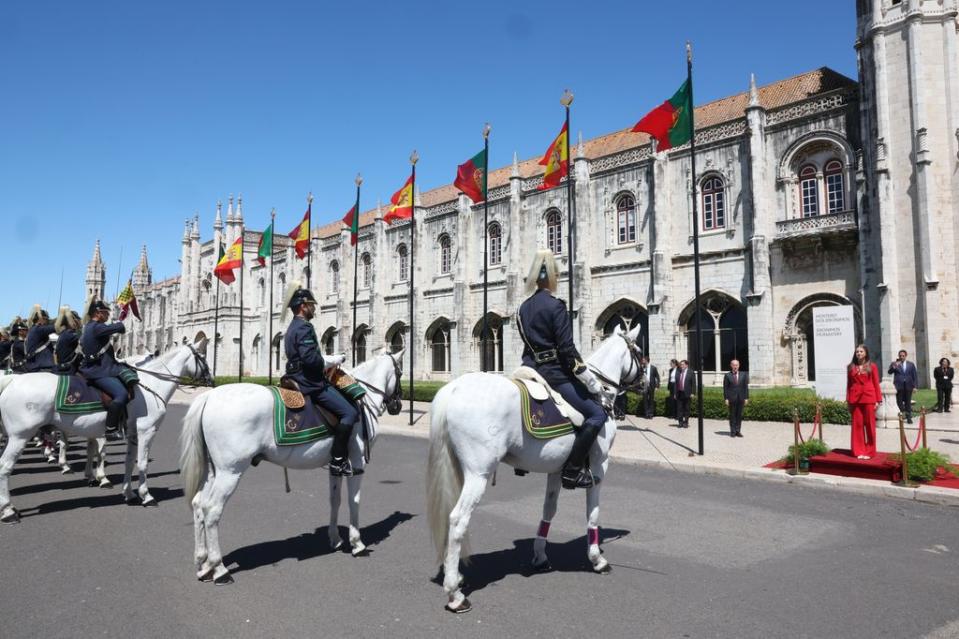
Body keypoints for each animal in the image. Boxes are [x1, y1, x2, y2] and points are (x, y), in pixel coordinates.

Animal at [0, 338, 212, 524]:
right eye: (203, 356)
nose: (211, 380)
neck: (150, 386)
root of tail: (12, 381)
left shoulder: (133, 434)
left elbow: (129, 462)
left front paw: (129, 493)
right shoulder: (147, 432)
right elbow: (142, 464)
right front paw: (146, 496)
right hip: (20, 437)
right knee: (5, 467)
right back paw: (9, 511)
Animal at [181, 350, 404, 584]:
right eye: (400, 372)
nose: (397, 405)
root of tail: (209, 396)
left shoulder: (337, 463)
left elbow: (335, 501)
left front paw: (335, 539)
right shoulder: (357, 462)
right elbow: (355, 501)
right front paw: (357, 543)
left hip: (213, 471)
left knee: (198, 505)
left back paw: (203, 564)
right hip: (230, 472)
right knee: (212, 509)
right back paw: (219, 568)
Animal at [430, 328, 644, 612]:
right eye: (639, 351)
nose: (648, 382)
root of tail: (454, 388)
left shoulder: (556, 469)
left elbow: (548, 511)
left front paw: (540, 556)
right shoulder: (599, 467)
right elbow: (593, 514)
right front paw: (597, 559)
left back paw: (454, 574)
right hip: (478, 474)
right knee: (457, 519)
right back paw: (455, 594)